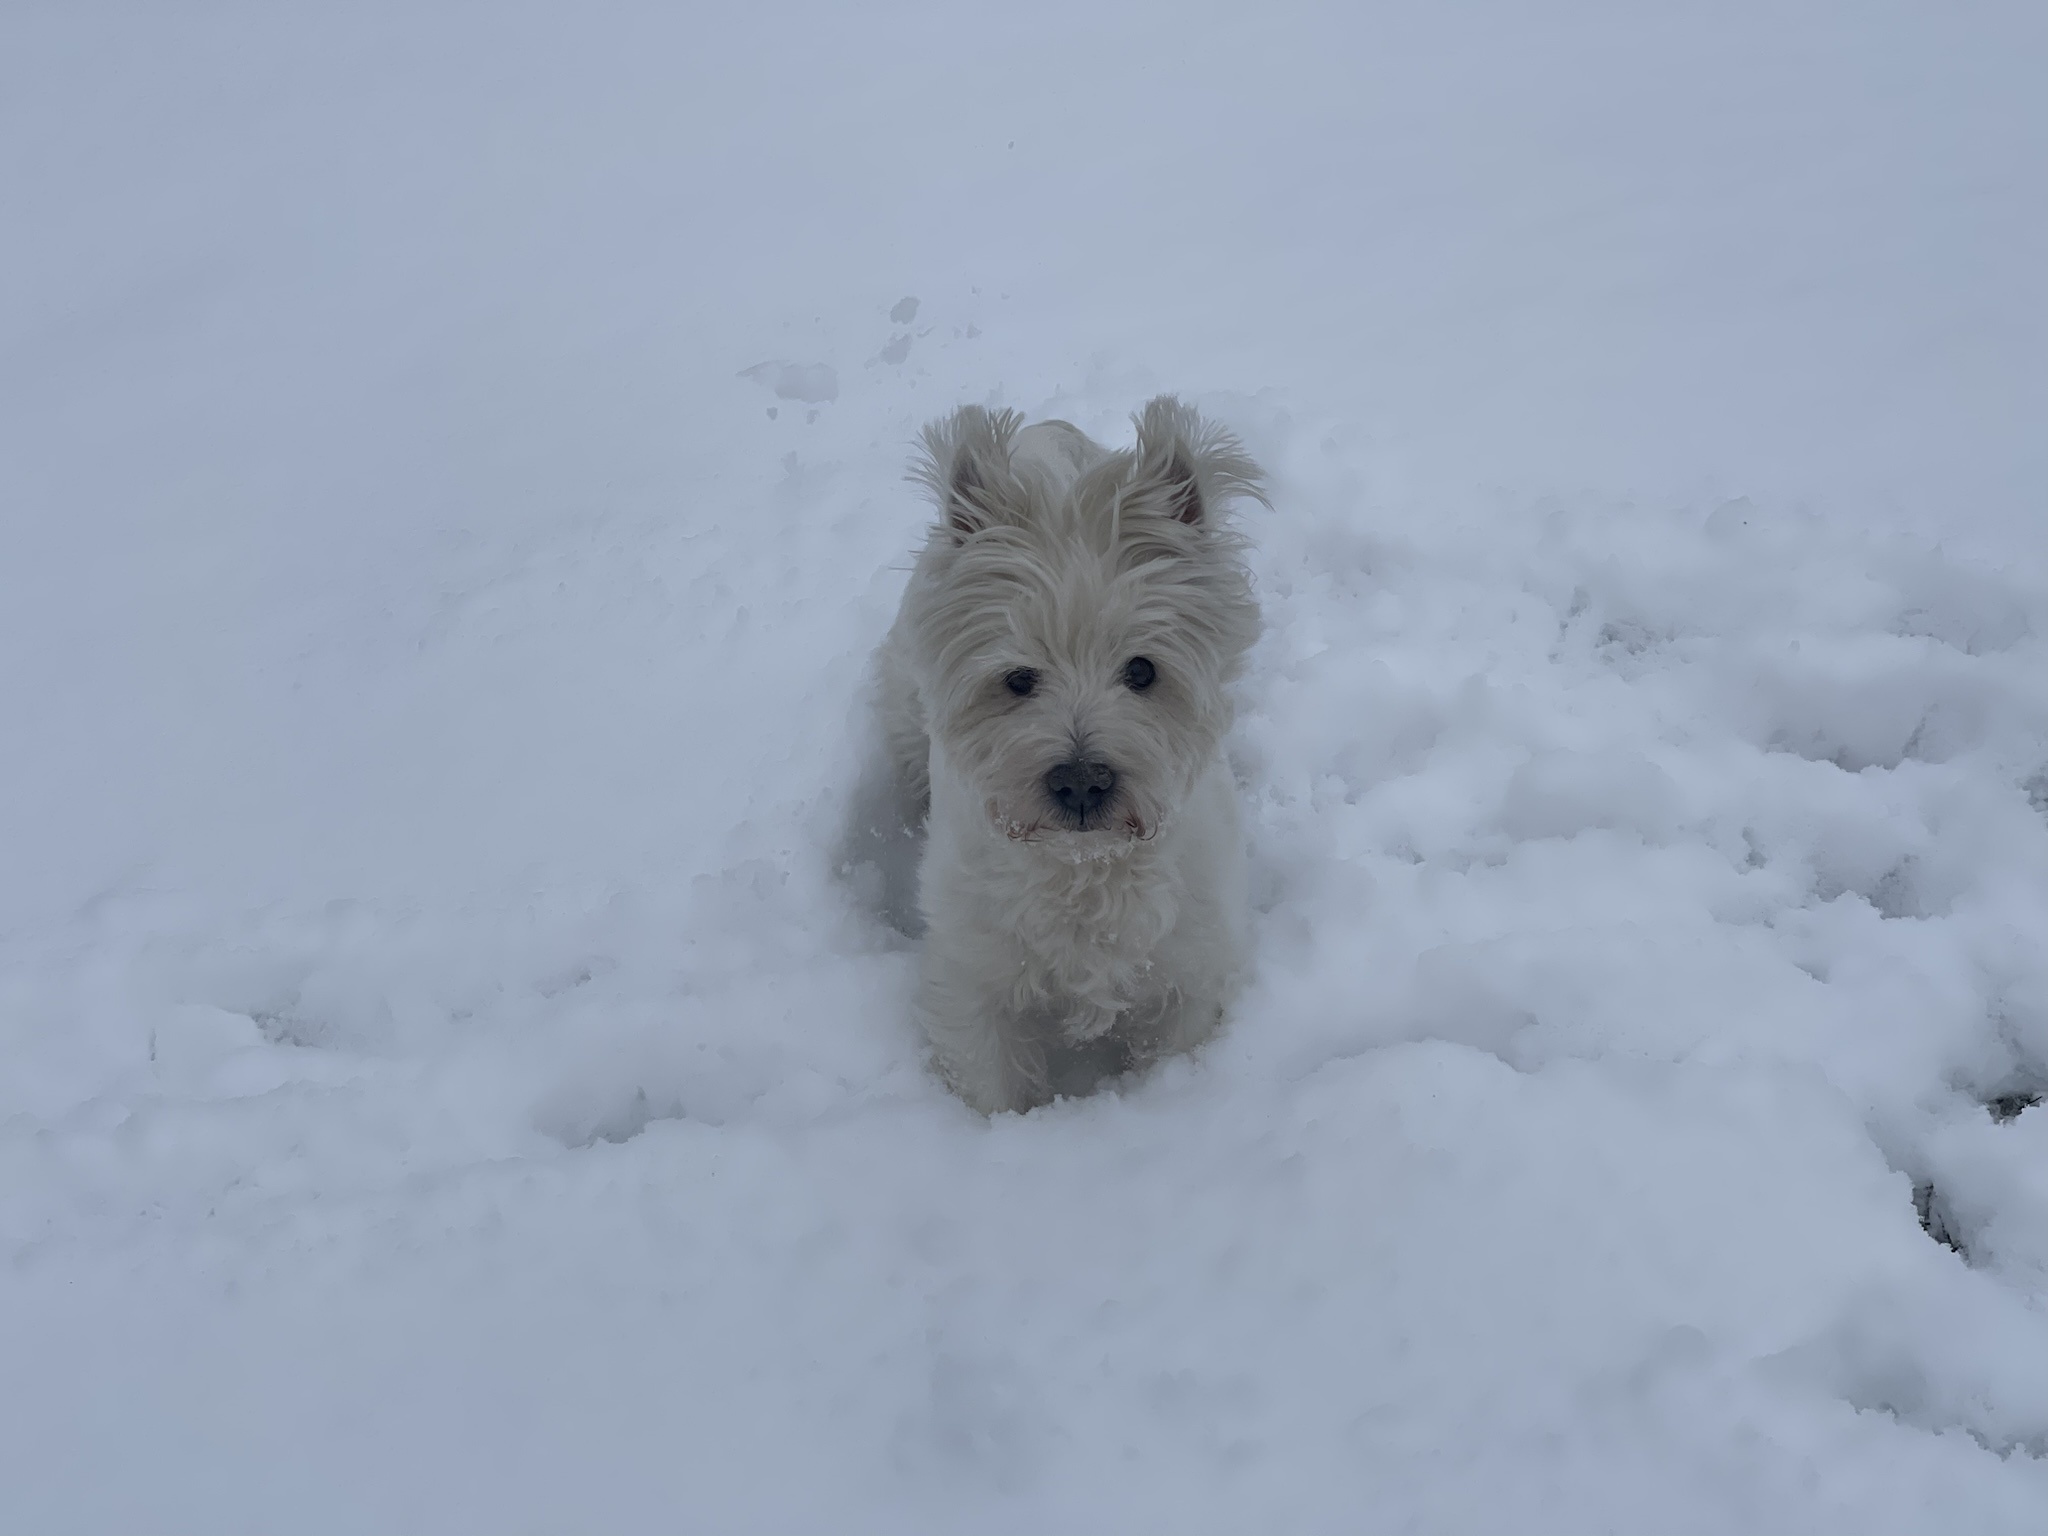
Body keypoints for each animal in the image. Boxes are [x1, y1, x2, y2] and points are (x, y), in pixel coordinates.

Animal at [876, 397, 1261, 1122]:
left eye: (1142, 670)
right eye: (1018, 679)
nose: (1082, 782)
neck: (1085, 871)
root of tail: (1047, 431)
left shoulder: (1188, 968)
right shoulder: (974, 977)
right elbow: (988, 1082)